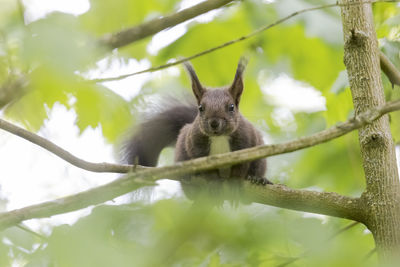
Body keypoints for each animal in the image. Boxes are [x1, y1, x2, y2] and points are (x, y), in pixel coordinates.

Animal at [122, 58, 272, 201]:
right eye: (200, 108)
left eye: (231, 107)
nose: (214, 123)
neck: (219, 138)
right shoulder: (196, 145)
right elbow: (207, 168)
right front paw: (214, 184)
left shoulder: (246, 143)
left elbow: (240, 167)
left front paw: (235, 183)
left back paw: (258, 179)